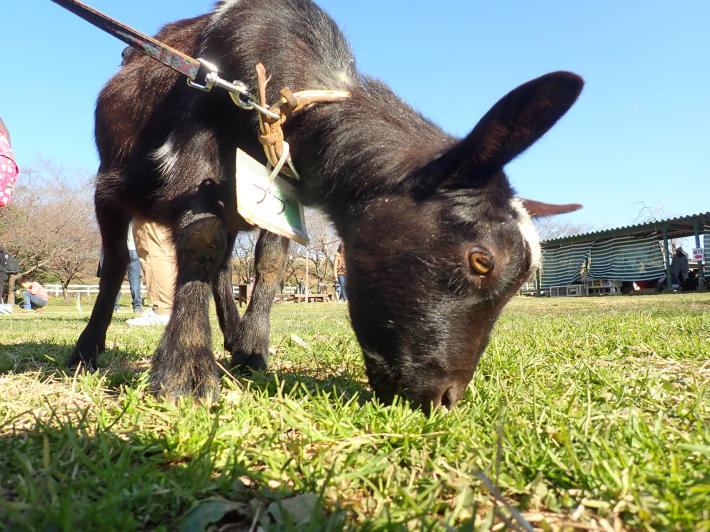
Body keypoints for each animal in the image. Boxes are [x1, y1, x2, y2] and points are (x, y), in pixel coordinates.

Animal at [71, 0, 584, 412]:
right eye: (481, 260)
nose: (444, 399)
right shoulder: (195, 152)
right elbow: (200, 240)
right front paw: (186, 371)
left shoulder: (277, 185)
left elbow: (270, 260)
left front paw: (252, 347)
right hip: (110, 188)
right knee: (116, 263)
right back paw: (87, 349)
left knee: (223, 265)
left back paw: (233, 336)